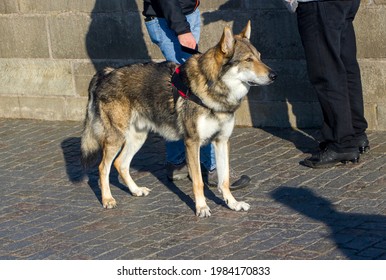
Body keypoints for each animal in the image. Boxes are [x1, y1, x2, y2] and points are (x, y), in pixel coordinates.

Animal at [81, 21, 276, 218]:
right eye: (248, 60)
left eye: (260, 57)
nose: (274, 75)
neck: (213, 90)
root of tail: (105, 73)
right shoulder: (192, 143)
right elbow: (198, 182)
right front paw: (202, 208)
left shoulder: (222, 141)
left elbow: (224, 180)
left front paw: (233, 204)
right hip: (116, 138)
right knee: (103, 167)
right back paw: (107, 199)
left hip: (137, 138)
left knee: (120, 164)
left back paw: (136, 190)